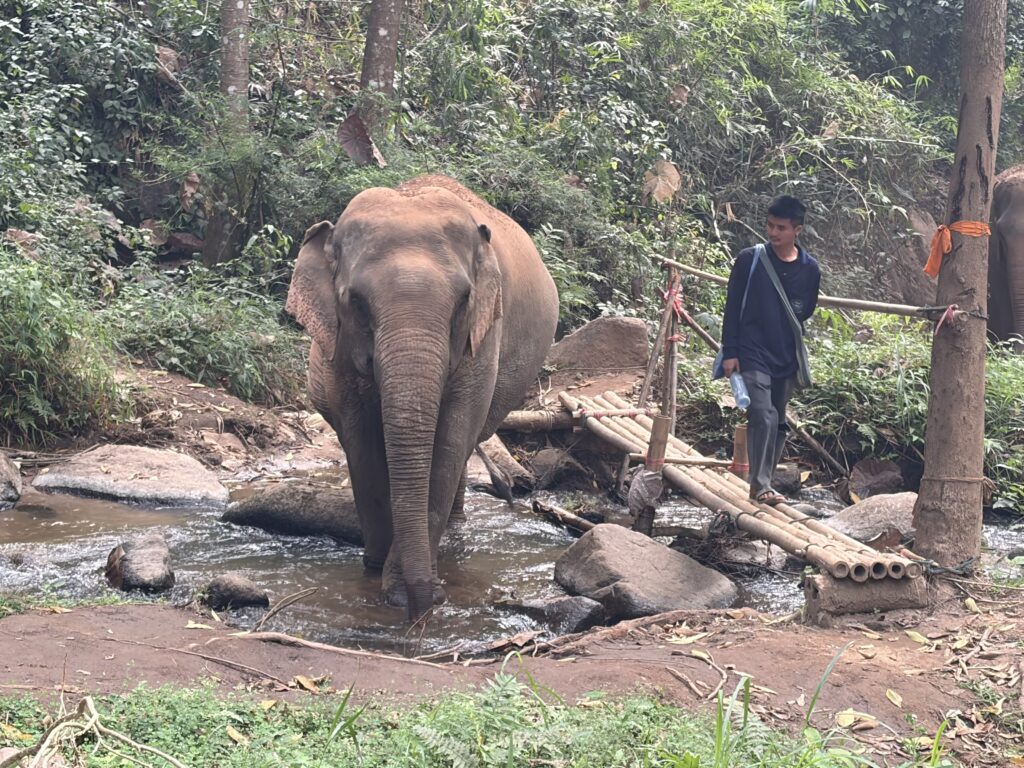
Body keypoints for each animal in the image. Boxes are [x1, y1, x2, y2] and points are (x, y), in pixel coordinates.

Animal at [285, 175, 559, 621]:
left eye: (463, 300)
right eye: (355, 301)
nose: (422, 605)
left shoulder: (482, 337)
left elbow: (450, 439)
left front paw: (404, 587)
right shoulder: (341, 348)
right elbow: (361, 441)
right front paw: (379, 572)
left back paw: (453, 532)